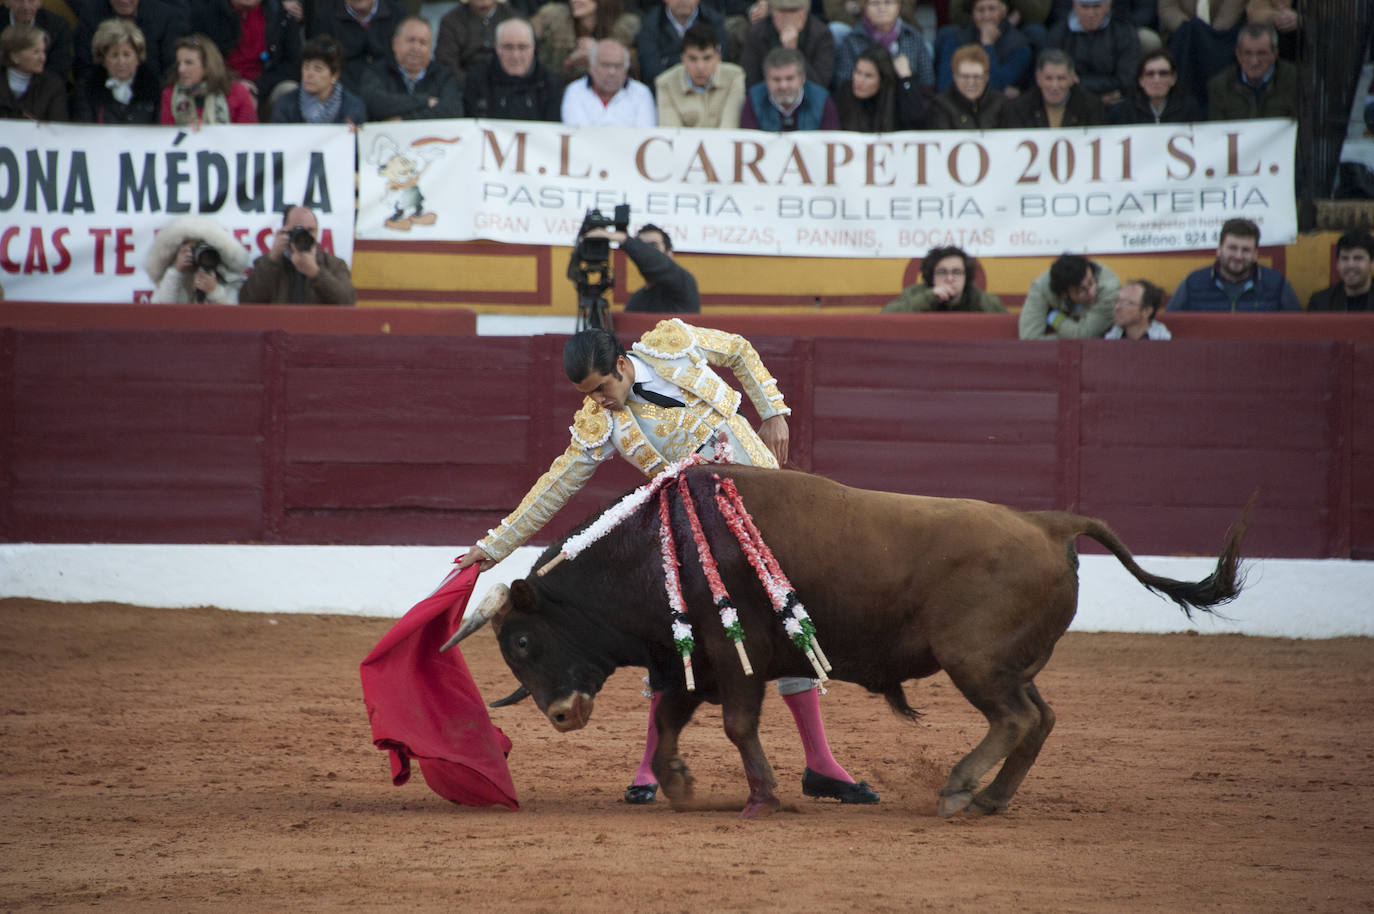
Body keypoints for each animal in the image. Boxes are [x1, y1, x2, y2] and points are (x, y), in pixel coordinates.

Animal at [447, 467, 1247, 813]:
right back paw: (992, 798)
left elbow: (736, 723)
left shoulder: (732, 655)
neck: (653, 547)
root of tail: (1049, 524)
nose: (560, 714)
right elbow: (673, 717)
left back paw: (959, 788)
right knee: (1041, 718)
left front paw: (764, 796)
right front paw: (677, 784)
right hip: (1008, 663)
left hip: (974, 661)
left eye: (523, 644)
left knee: (1017, 719)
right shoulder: (694, 661)